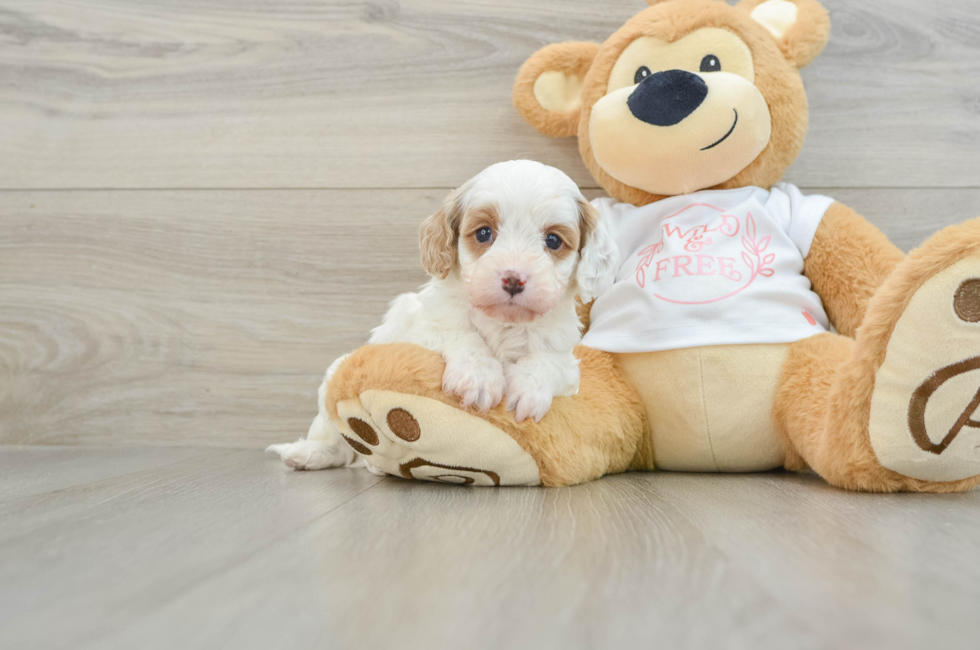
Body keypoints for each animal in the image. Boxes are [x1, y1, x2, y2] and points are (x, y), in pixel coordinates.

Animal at [266, 159, 620, 468]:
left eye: (553, 240)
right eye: (484, 233)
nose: (513, 279)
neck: (502, 323)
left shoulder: (565, 360)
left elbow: (546, 362)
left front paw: (528, 391)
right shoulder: (422, 332)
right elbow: (461, 336)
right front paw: (478, 378)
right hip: (333, 383)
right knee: (336, 439)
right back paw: (308, 454)